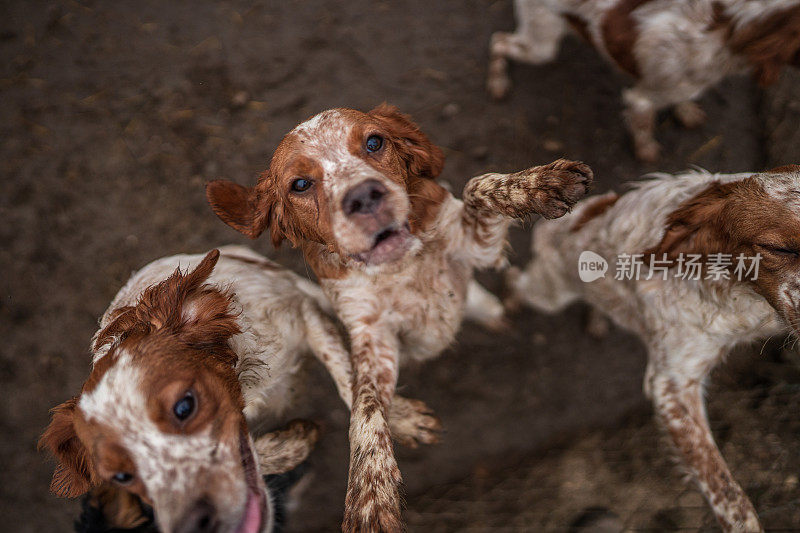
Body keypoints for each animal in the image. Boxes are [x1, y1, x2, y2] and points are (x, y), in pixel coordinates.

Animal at [39, 245, 438, 532]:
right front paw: (293, 443)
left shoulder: (304, 316)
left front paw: (377, 486)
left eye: (184, 406)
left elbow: (354, 386)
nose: (192, 526)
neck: (250, 375)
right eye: (121, 477)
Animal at [206, 105, 592, 532]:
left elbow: (478, 185)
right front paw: (370, 497)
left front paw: (541, 184)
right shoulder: (372, 339)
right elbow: (364, 407)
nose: (363, 196)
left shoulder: (479, 248)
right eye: (300, 184)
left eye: (375, 142)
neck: (401, 267)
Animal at [488, 1, 800, 161]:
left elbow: (683, 99)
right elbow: (643, 127)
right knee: (498, 41)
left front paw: (686, 112)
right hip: (541, 44)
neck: (722, 30)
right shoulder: (642, 99)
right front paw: (646, 151)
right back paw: (498, 82)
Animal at [510, 164, 800, 528]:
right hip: (548, 292)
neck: (740, 294)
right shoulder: (672, 384)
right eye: (780, 249)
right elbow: (730, 495)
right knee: (518, 283)